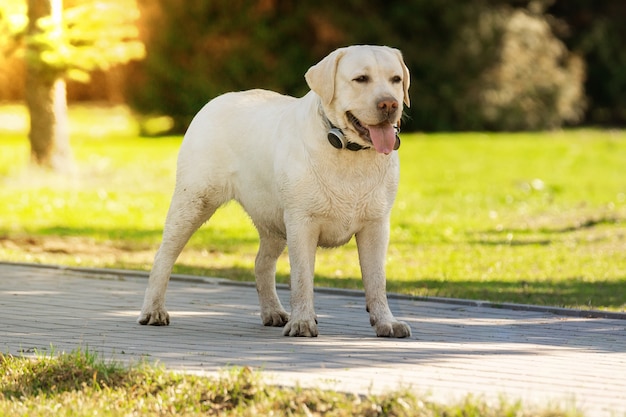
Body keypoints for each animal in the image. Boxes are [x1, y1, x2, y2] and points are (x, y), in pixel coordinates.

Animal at [138, 44, 410, 338]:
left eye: (396, 80)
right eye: (361, 79)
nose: (390, 104)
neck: (348, 150)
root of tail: (215, 101)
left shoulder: (376, 225)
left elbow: (376, 280)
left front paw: (387, 322)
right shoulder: (301, 222)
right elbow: (302, 278)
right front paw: (302, 322)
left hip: (273, 220)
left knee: (262, 263)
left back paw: (273, 312)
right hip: (194, 201)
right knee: (164, 256)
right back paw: (153, 310)